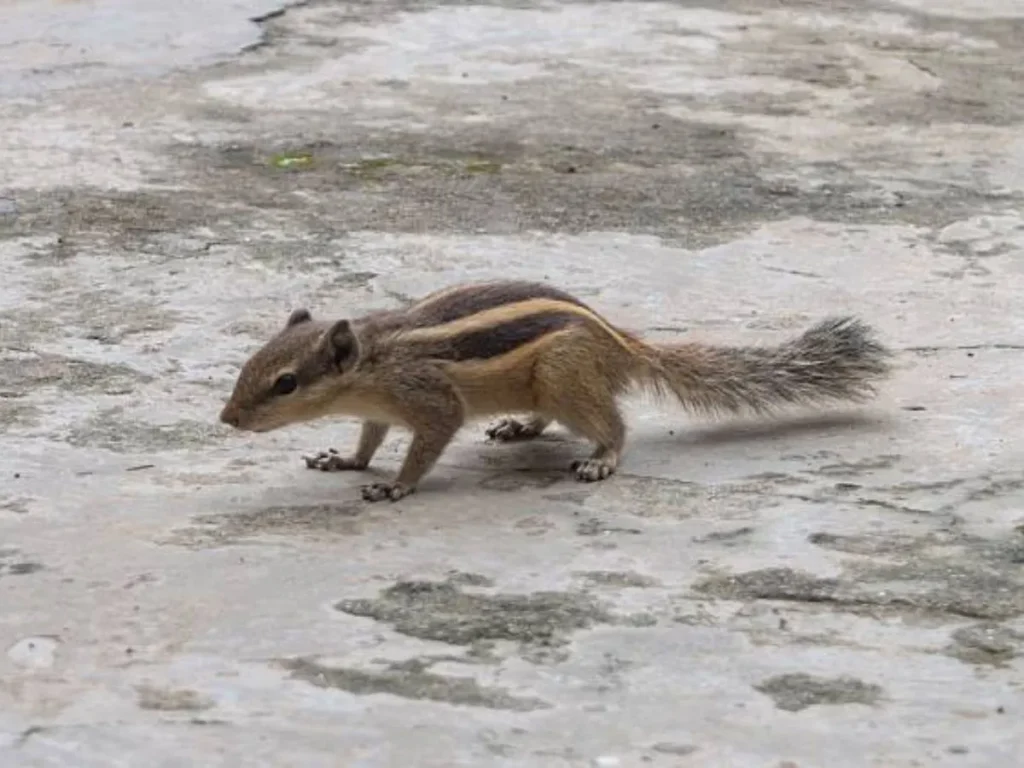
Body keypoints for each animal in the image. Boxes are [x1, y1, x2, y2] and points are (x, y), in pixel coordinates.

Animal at [219, 280, 893, 502]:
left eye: (285, 383)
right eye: (249, 364)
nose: (227, 419)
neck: (373, 364)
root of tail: (622, 346)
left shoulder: (431, 401)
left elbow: (425, 444)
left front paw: (395, 485)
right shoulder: (380, 411)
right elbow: (368, 438)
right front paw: (345, 460)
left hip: (565, 377)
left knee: (614, 424)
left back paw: (602, 459)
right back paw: (520, 426)